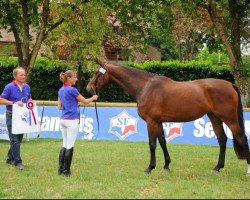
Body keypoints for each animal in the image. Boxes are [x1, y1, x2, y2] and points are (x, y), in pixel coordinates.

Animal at [86, 61, 250, 175]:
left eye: (96, 73)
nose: (88, 88)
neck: (145, 87)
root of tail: (230, 84)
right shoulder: (158, 122)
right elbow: (163, 142)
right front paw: (166, 166)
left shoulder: (151, 122)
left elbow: (152, 144)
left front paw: (150, 168)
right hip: (214, 117)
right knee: (222, 139)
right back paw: (217, 167)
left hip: (230, 119)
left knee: (242, 138)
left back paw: (247, 169)